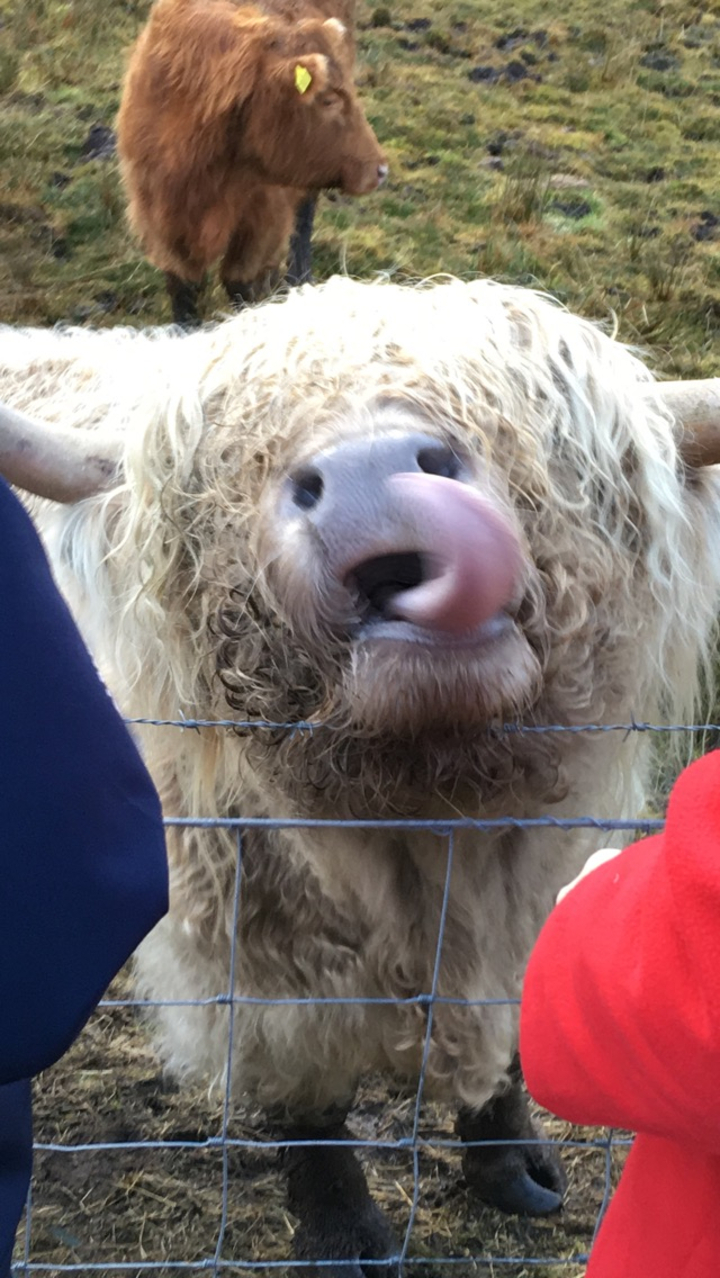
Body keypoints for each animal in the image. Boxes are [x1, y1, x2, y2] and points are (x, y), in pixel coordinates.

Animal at [2, 276, 720, 1274]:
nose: (376, 475)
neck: (434, 820)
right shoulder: (259, 946)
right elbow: (310, 1096)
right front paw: (343, 1231)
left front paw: (513, 1166)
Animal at [116, 0, 388, 326]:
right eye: (328, 99)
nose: (380, 169)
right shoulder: (162, 219)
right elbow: (183, 292)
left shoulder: (264, 220)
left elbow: (241, 285)